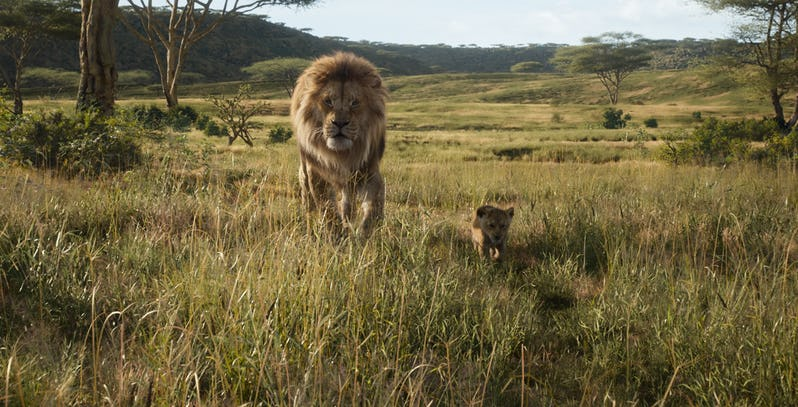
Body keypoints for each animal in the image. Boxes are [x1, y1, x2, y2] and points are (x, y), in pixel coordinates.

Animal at [290, 52, 388, 236]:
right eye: (328, 101)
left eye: (355, 102)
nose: (340, 123)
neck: (342, 154)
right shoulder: (316, 172)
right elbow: (326, 208)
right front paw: (337, 235)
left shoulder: (369, 172)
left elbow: (373, 207)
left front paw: (363, 234)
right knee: (309, 200)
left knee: (347, 201)